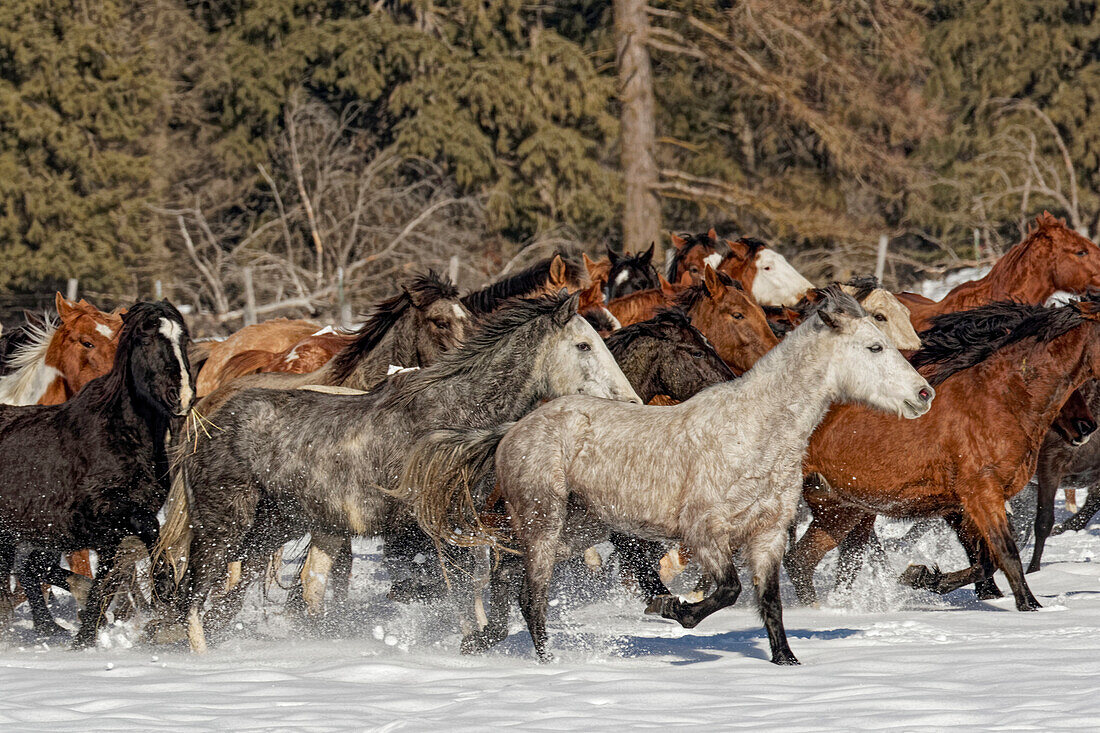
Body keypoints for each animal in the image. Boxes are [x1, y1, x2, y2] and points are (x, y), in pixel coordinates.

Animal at [0, 301, 191, 647]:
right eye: (145, 339)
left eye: (183, 338)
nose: (181, 396)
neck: (118, 435)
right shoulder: (100, 517)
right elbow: (146, 532)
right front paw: (163, 603)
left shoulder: (106, 534)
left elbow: (110, 578)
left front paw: (88, 634)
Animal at [154, 290, 638, 651]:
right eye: (583, 345)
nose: (632, 402)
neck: (451, 419)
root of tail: (202, 422)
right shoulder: (435, 530)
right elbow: (457, 592)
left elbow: (473, 592)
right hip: (225, 528)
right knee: (192, 595)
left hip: (272, 528)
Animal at [409, 283, 932, 660]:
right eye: (875, 347)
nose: (924, 394)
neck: (754, 430)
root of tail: (513, 428)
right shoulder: (705, 532)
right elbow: (727, 590)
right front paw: (671, 609)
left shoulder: (766, 535)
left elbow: (770, 603)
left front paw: (786, 662)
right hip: (545, 522)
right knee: (529, 594)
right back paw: (548, 662)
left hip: (576, 528)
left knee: (505, 579)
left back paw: (482, 642)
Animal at [787, 297, 1100, 611]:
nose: (1086, 427)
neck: (1002, 399)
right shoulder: (982, 492)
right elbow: (1006, 552)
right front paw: (1030, 606)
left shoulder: (967, 504)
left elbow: (986, 560)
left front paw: (921, 577)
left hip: (839, 508)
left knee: (801, 560)